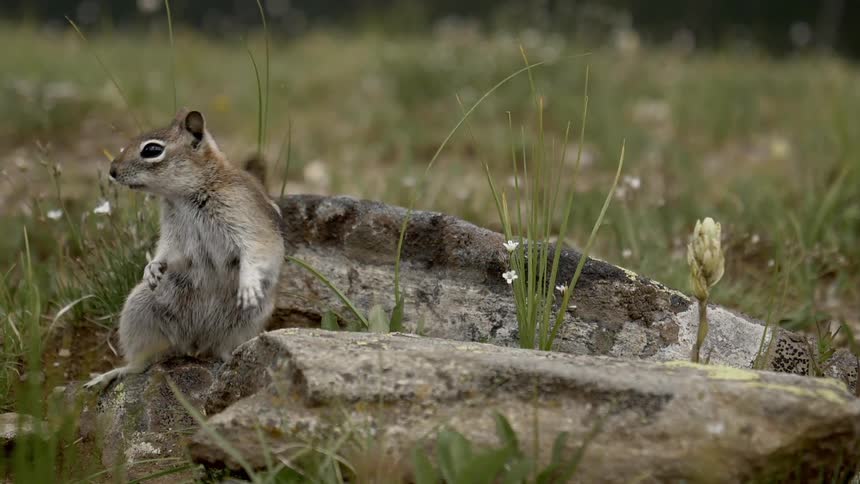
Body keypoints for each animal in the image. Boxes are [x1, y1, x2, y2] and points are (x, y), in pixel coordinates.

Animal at [84, 109, 285, 390]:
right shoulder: (173, 233)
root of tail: (195, 342)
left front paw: (247, 285)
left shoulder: (246, 221)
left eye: (152, 150)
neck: (185, 196)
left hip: (247, 322)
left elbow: (254, 253)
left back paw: (230, 361)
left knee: (223, 349)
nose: (112, 171)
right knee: (142, 362)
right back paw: (111, 374)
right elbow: (167, 251)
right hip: (140, 312)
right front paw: (152, 269)